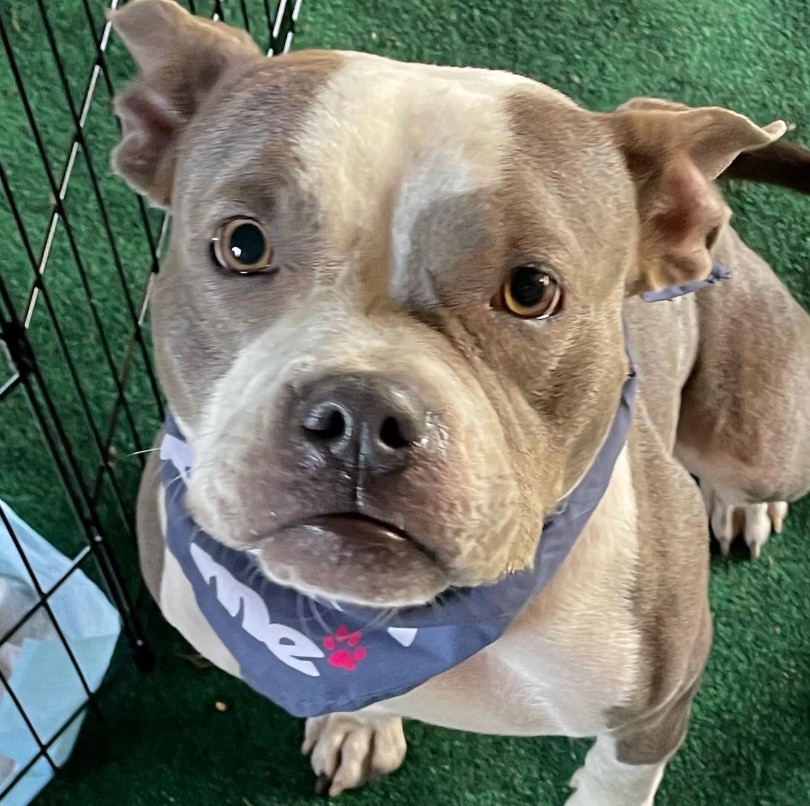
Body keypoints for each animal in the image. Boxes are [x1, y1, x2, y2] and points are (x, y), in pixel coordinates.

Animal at [109, 3, 808, 804]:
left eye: (532, 290)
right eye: (242, 245)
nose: (359, 417)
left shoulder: (657, 709)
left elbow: (614, 782)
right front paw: (355, 723)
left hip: (762, 443)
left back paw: (744, 504)